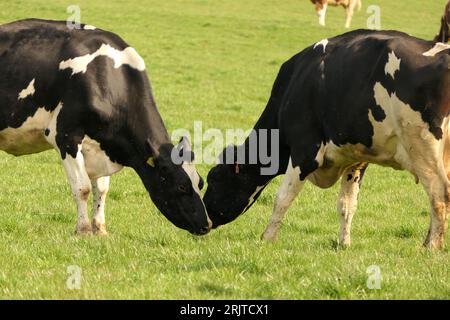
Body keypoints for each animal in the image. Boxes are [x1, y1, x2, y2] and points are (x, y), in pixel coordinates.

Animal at [0, 18, 211, 236]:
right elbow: (82, 188)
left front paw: (100, 229)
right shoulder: (66, 137)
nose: (207, 225)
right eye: (182, 187)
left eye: (200, 182)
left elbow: (101, 189)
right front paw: (83, 230)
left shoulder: (101, 146)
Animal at [204, 30, 450, 250]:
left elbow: (283, 197)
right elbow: (347, 204)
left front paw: (267, 238)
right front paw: (344, 244)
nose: (204, 219)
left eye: (214, 179)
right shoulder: (355, 160)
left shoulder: (305, 152)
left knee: (439, 193)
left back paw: (431, 247)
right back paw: (427, 242)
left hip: (422, 147)